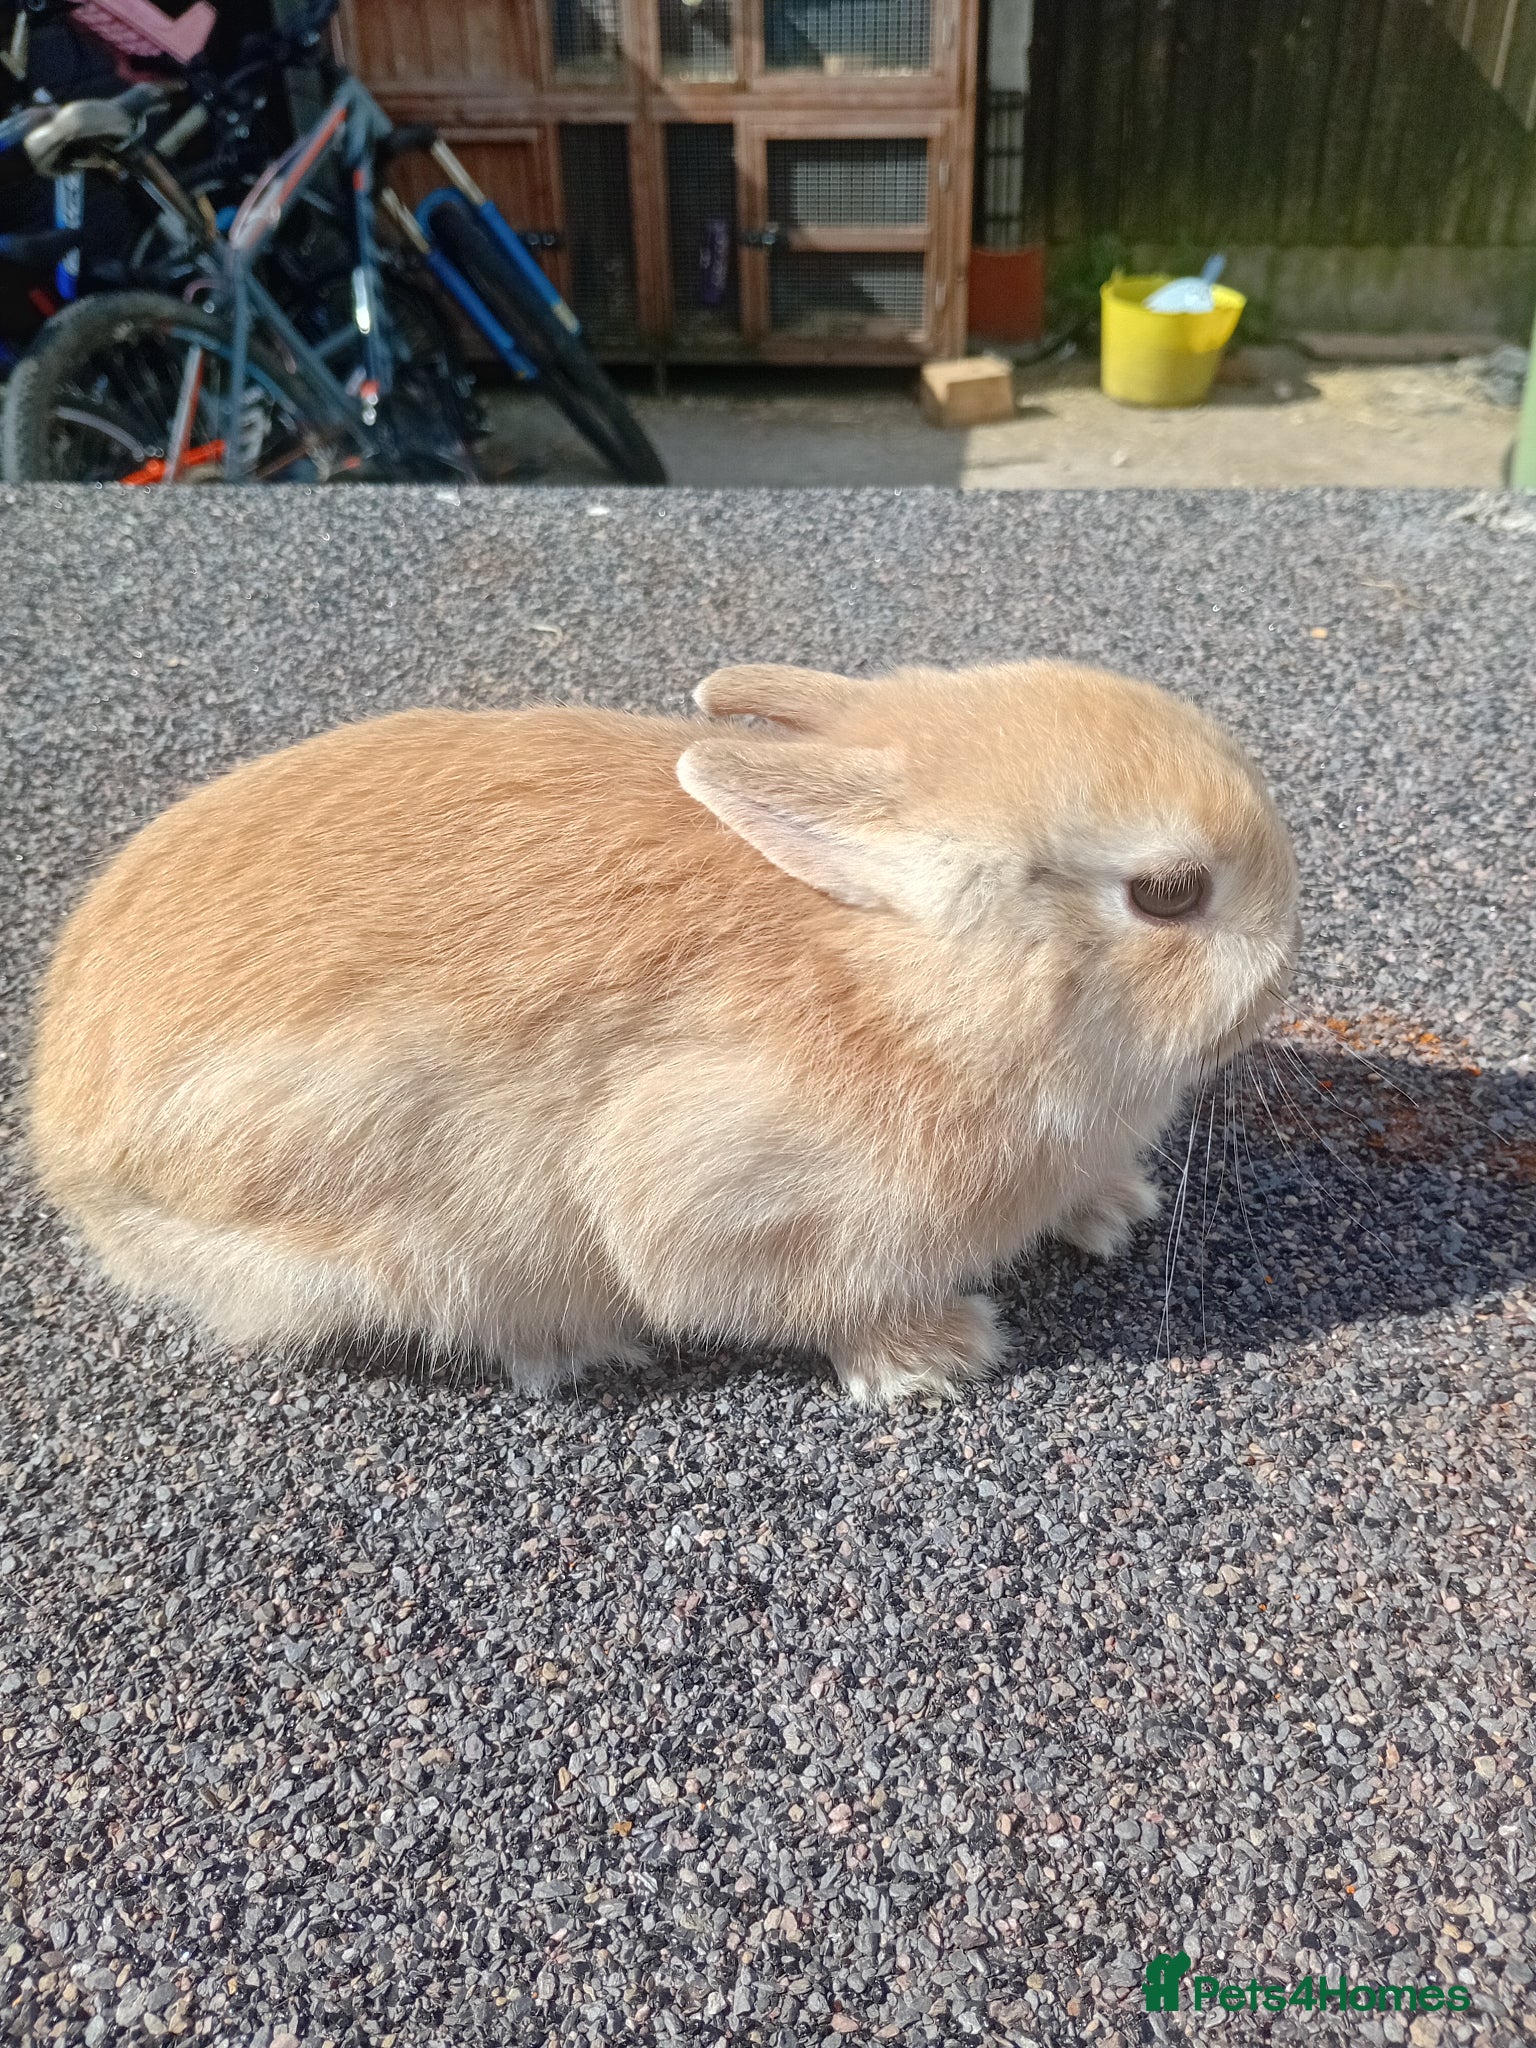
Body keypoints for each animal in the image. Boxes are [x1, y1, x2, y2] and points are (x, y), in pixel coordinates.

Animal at [29, 660, 1299, 1403]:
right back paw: (577, 1344)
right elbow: (811, 1298)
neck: (906, 986)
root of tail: (62, 1137)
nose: (1286, 961)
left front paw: (1116, 1209)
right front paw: (940, 1354)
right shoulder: (722, 1186)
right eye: (1170, 894)